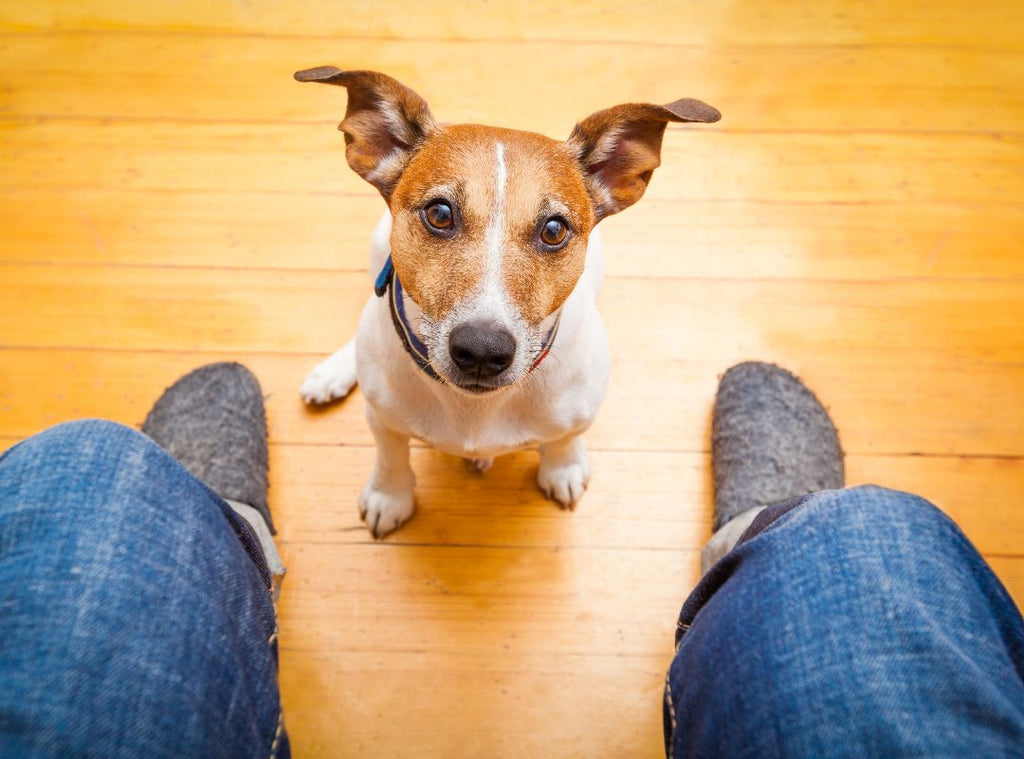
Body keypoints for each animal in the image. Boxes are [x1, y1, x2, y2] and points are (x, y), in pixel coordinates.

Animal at [296, 68, 720, 536]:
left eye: (554, 229)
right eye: (439, 213)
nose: (482, 351)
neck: (477, 408)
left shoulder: (576, 416)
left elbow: (564, 440)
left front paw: (562, 468)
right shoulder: (383, 419)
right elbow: (391, 455)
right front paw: (390, 496)